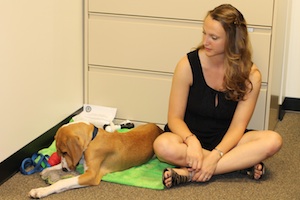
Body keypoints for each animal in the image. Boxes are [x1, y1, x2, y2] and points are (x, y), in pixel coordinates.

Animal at [29, 120, 163, 198]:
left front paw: (40, 191)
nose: (65, 170)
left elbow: (63, 182)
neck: (92, 138)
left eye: (65, 152)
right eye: (59, 153)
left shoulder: (91, 175)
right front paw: (48, 169)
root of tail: (159, 128)